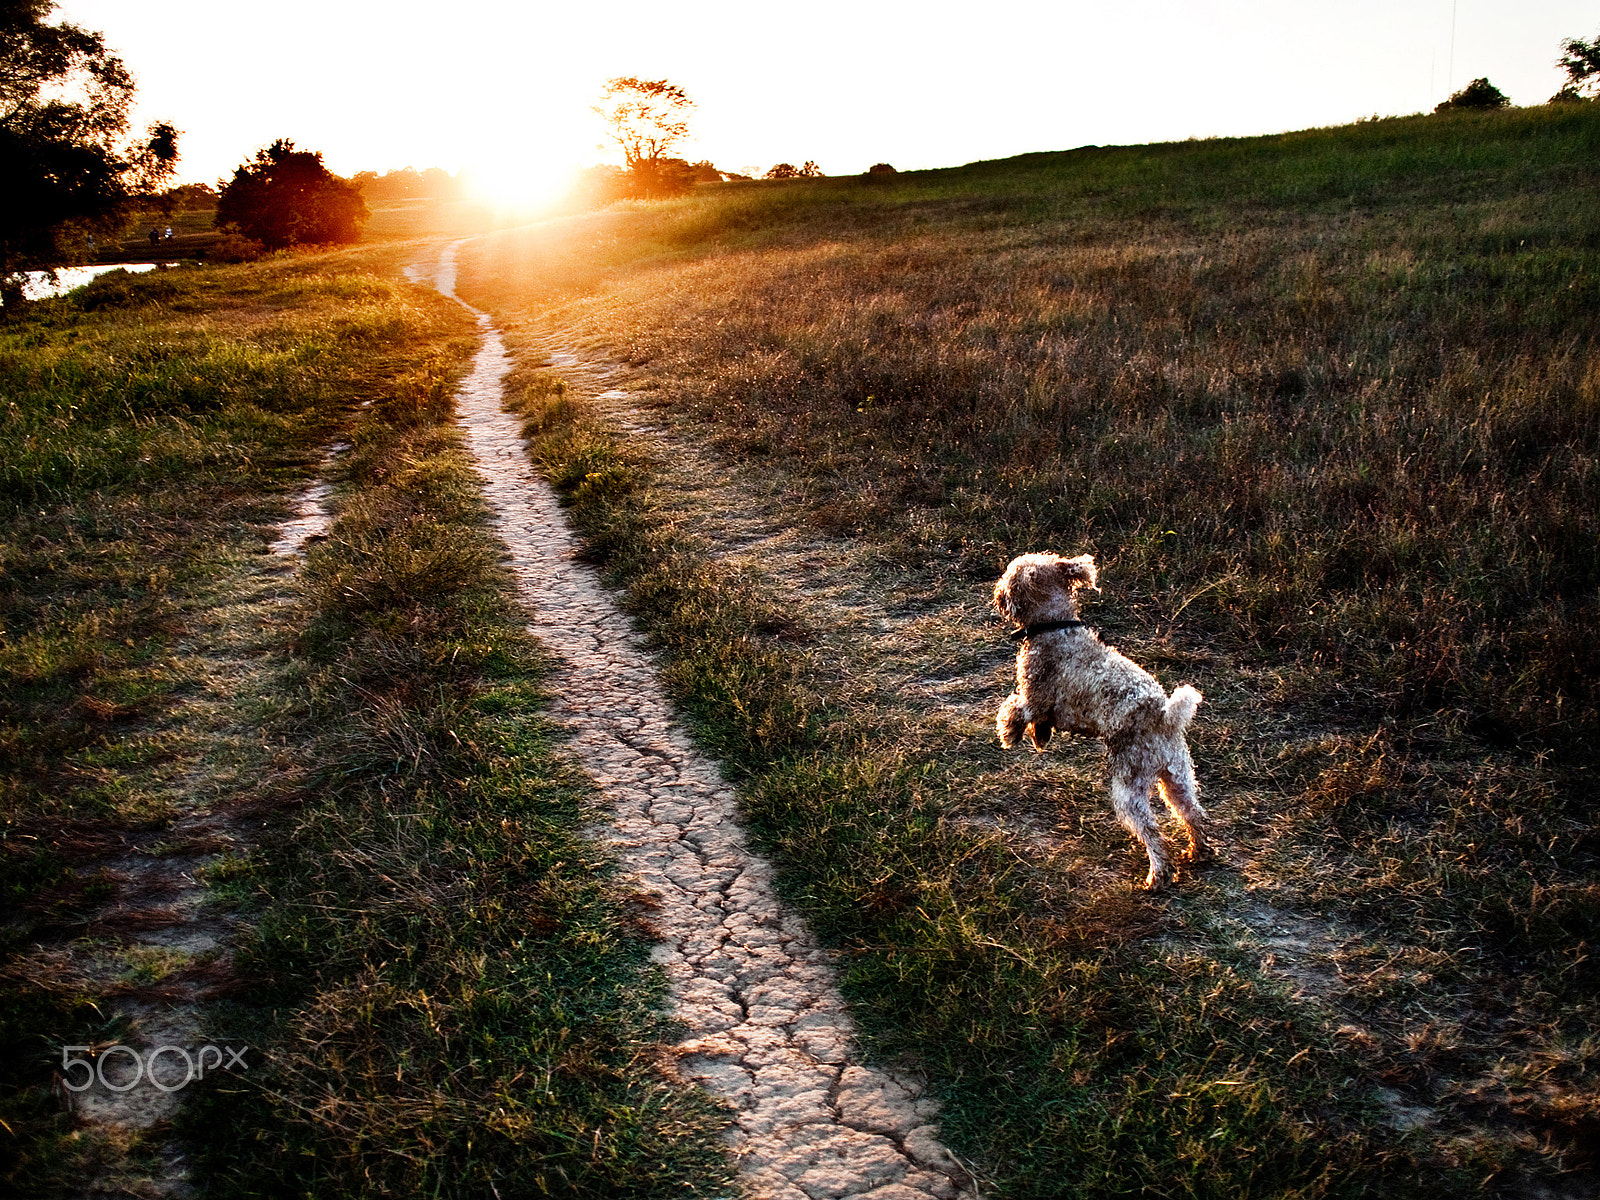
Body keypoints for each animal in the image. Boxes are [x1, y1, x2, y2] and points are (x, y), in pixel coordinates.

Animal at [992, 553, 1203, 896]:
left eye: (1010, 578)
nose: (997, 595)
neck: (1056, 625)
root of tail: (1163, 716)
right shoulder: (1045, 708)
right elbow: (1039, 723)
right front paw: (1039, 738)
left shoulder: (1035, 695)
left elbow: (1014, 708)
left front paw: (1009, 734)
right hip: (1177, 775)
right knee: (1192, 813)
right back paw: (1200, 851)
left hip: (1130, 784)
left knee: (1152, 833)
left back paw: (1157, 877)